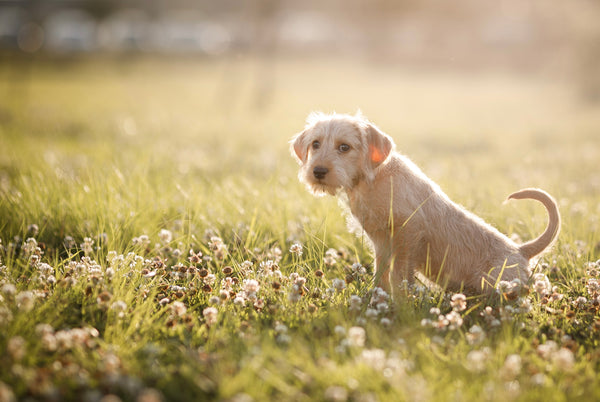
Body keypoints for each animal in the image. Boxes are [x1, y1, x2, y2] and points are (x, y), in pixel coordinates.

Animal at [288, 113, 560, 296]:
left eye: (344, 147)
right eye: (315, 144)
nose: (318, 171)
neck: (374, 179)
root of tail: (521, 250)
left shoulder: (409, 233)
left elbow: (400, 273)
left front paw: (399, 299)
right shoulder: (381, 242)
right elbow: (381, 272)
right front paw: (376, 296)